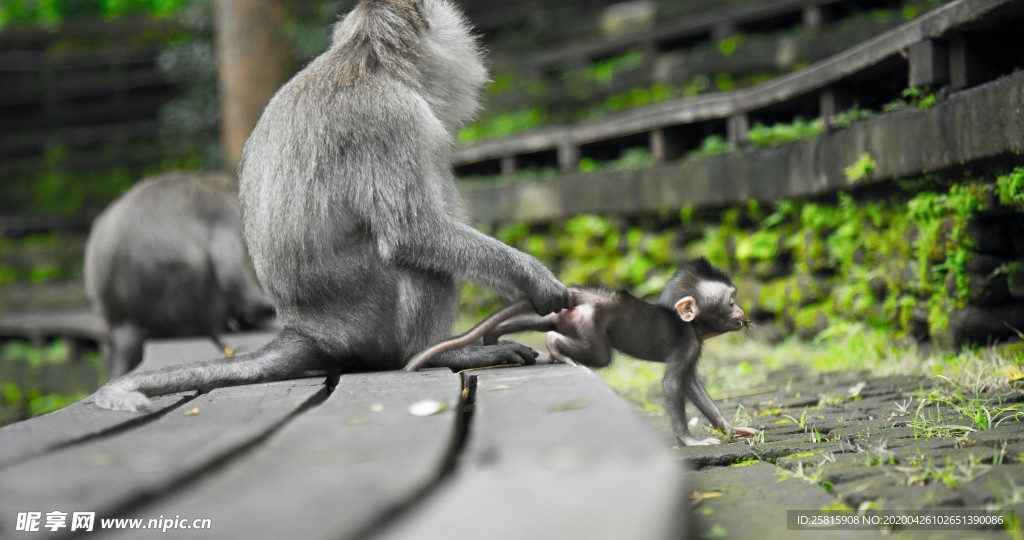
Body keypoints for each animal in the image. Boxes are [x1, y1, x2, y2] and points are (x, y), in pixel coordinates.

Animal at [407, 258, 761, 448]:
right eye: (731, 302)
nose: (743, 313)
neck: (692, 326)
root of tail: (589, 296)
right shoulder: (686, 343)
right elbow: (674, 385)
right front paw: (690, 441)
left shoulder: (693, 348)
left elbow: (692, 386)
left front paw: (730, 429)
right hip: (591, 324)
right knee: (591, 352)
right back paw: (555, 349)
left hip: (570, 316)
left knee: (546, 320)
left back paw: (496, 337)